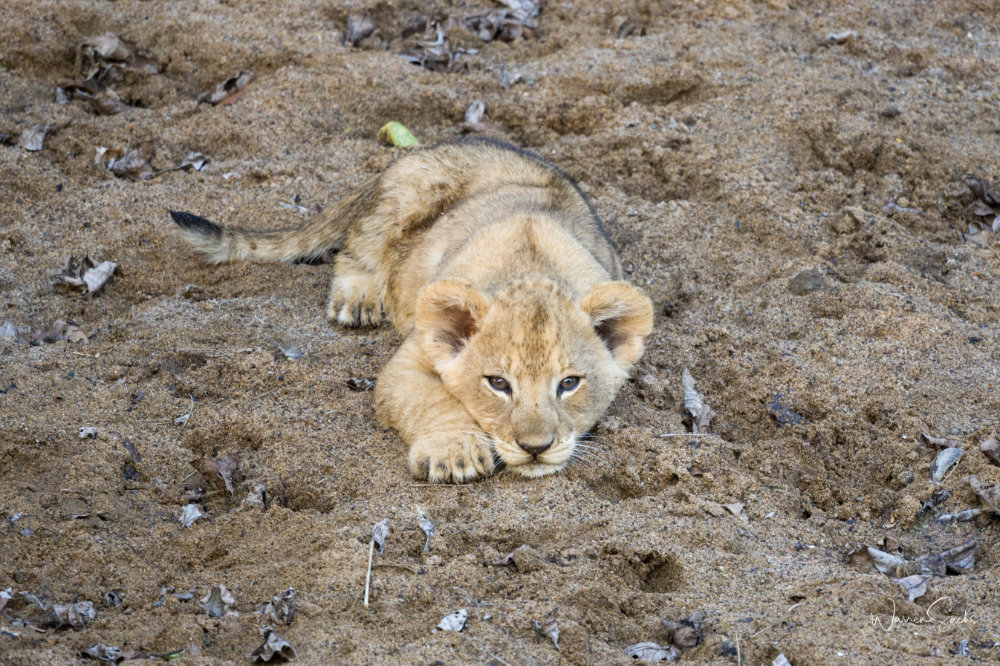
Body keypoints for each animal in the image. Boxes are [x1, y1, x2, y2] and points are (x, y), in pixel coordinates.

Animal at [170, 138, 653, 483]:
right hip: (406, 196)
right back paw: (359, 298)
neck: (532, 266)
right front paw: (454, 453)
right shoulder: (407, 362)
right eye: (498, 383)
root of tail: (433, 146)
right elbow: (434, 400)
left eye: (569, 383)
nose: (536, 447)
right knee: (355, 250)